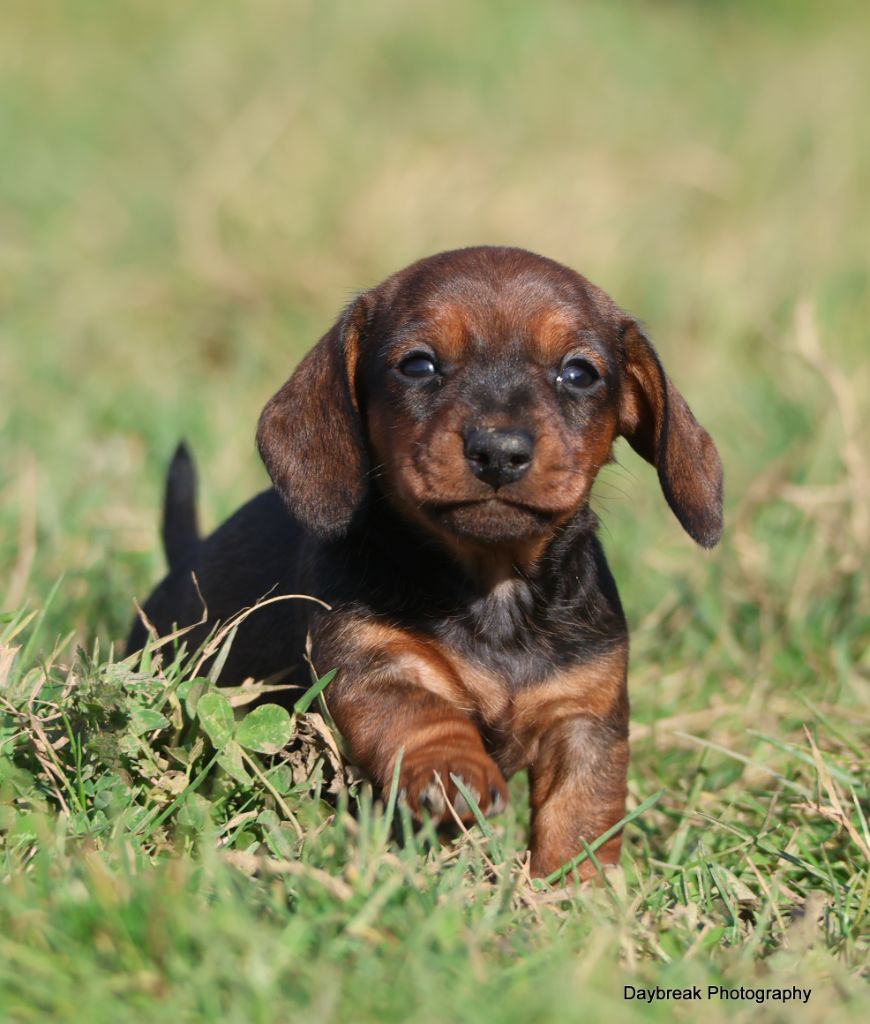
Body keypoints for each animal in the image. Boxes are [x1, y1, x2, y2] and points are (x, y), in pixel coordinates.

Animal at [128, 245, 720, 880]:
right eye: (418, 365)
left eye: (580, 373)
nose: (499, 451)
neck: (496, 589)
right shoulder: (377, 666)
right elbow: (424, 717)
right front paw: (453, 773)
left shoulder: (584, 715)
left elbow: (582, 812)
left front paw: (572, 890)